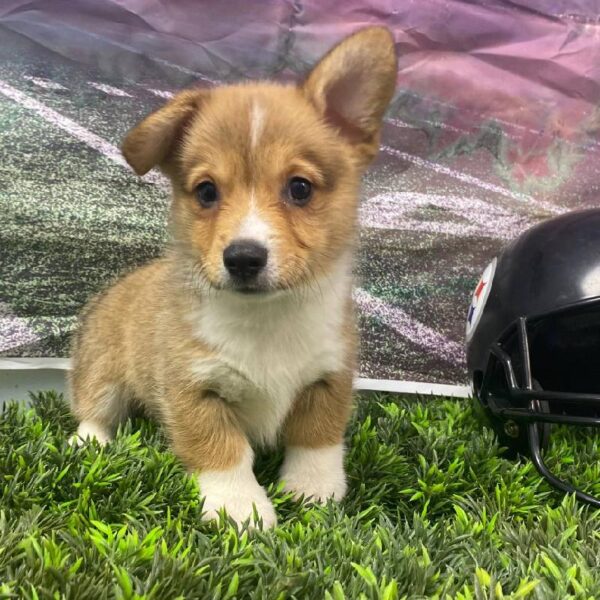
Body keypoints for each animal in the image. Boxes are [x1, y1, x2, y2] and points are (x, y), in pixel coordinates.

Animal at [70, 25, 398, 528]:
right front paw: (240, 510)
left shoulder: (329, 377)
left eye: (299, 188)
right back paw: (87, 444)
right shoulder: (194, 390)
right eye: (207, 192)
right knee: (94, 410)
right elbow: (222, 451)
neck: (266, 319)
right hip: (103, 371)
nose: (243, 258)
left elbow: (317, 439)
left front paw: (314, 491)